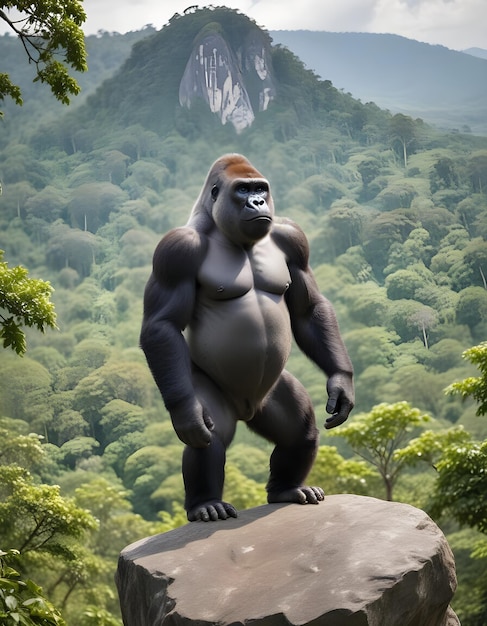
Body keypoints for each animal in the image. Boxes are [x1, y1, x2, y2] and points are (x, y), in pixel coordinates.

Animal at [141, 154, 354, 520]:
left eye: (260, 189)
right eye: (243, 190)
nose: (256, 203)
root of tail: (246, 409)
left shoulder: (292, 236)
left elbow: (308, 308)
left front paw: (341, 382)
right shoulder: (176, 249)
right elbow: (162, 325)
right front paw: (184, 413)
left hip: (268, 396)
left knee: (300, 430)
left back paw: (285, 488)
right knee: (211, 436)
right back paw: (205, 502)